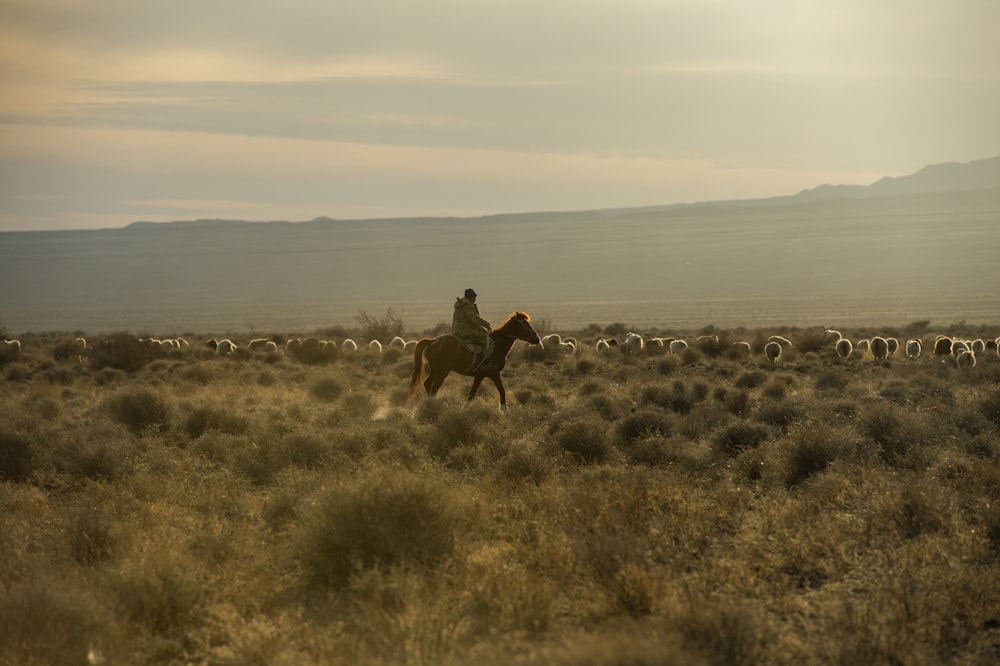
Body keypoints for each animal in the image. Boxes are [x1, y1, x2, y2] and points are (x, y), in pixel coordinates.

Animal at [408, 312, 540, 410]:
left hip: (436, 370)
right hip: (442, 372)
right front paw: (504, 411)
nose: (537, 338)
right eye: (526, 324)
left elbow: (472, 394)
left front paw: (464, 410)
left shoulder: (479, 376)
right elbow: (502, 391)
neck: (497, 345)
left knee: (428, 384)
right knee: (434, 388)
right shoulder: (494, 374)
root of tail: (432, 341)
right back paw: (434, 406)